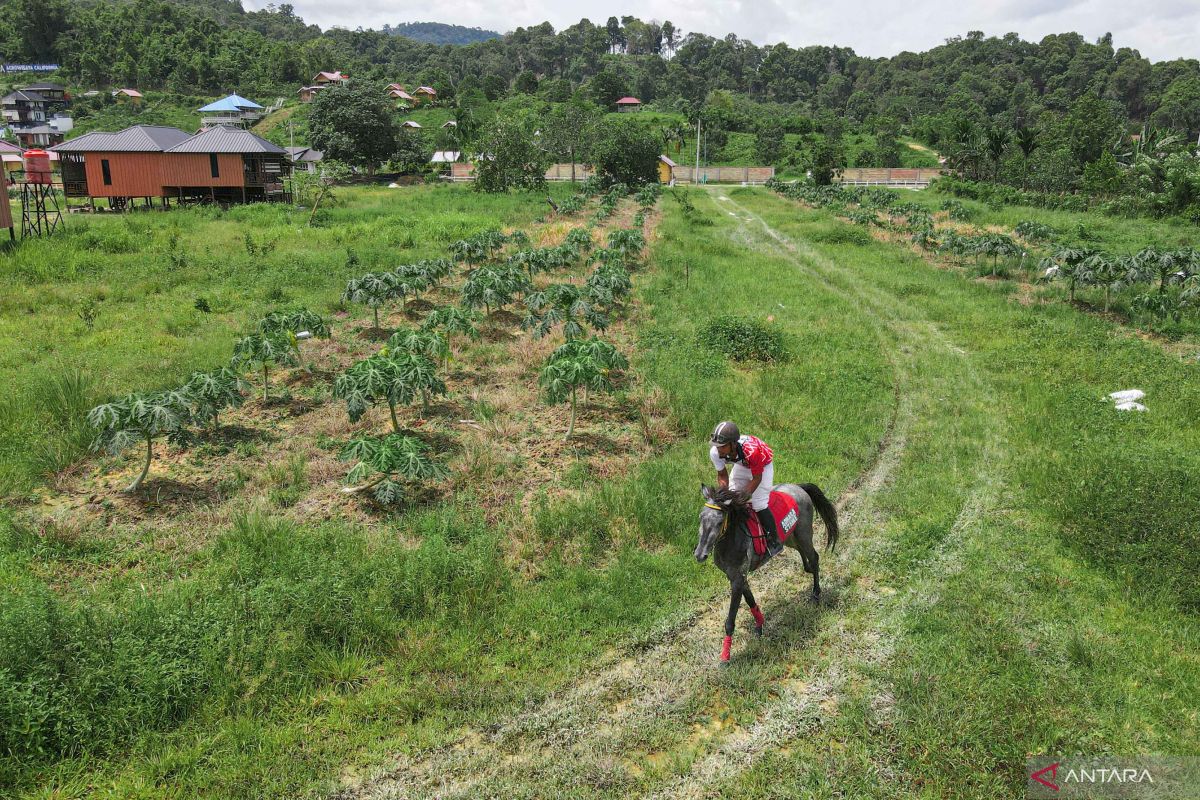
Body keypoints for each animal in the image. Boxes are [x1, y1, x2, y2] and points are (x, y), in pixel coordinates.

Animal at [700, 482, 840, 662]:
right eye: (700, 518)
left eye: (719, 522)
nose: (700, 554)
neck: (730, 540)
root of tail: (798, 486)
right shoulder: (736, 576)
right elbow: (750, 600)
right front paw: (759, 625)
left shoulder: (737, 579)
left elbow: (730, 620)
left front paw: (725, 656)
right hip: (789, 536)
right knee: (801, 552)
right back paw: (807, 569)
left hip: (804, 533)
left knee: (814, 557)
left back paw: (815, 593)